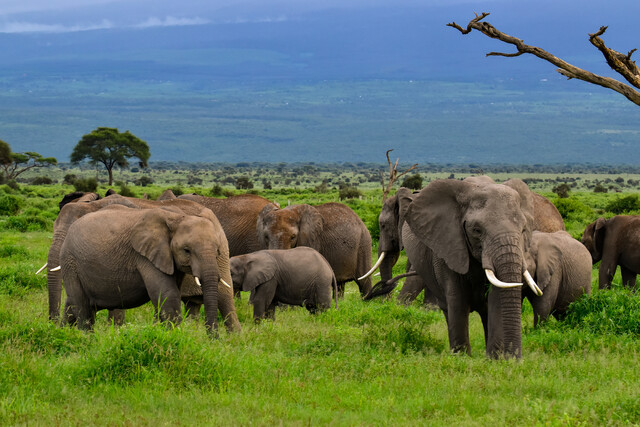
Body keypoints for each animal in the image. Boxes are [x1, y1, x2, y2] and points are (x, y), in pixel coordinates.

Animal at [400, 176, 540, 360]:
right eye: (477, 230)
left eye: (523, 230)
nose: (515, 359)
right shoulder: (448, 245)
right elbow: (457, 300)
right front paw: (463, 358)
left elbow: (496, 298)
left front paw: (495, 360)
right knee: (448, 309)